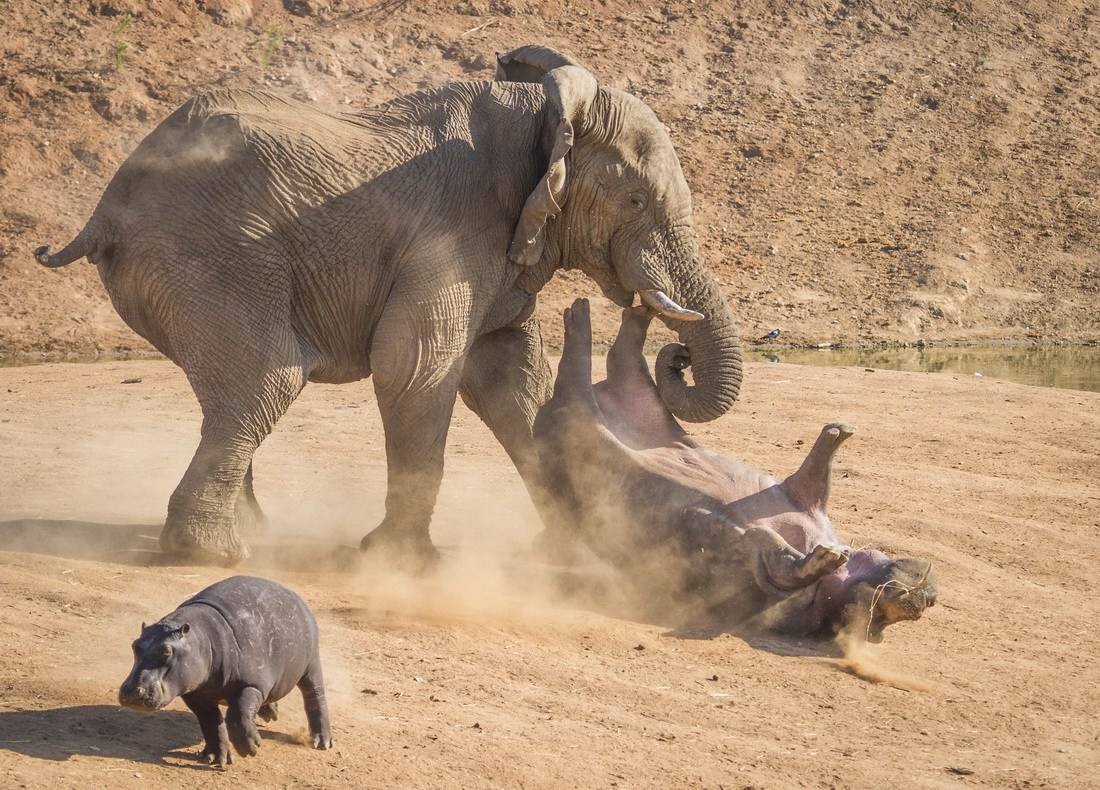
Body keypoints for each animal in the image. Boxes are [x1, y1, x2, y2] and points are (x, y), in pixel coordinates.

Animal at [34, 44, 743, 566]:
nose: (671, 346)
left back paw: (252, 536)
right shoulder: (453, 228)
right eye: (635, 202)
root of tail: (105, 207)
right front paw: (405, 562)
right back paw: (212, 556)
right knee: (267, 378)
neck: (545, 113)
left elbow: (510, 377)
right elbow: (416, 365)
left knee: (234, 390)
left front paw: (572, 547)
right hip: (209, 256)